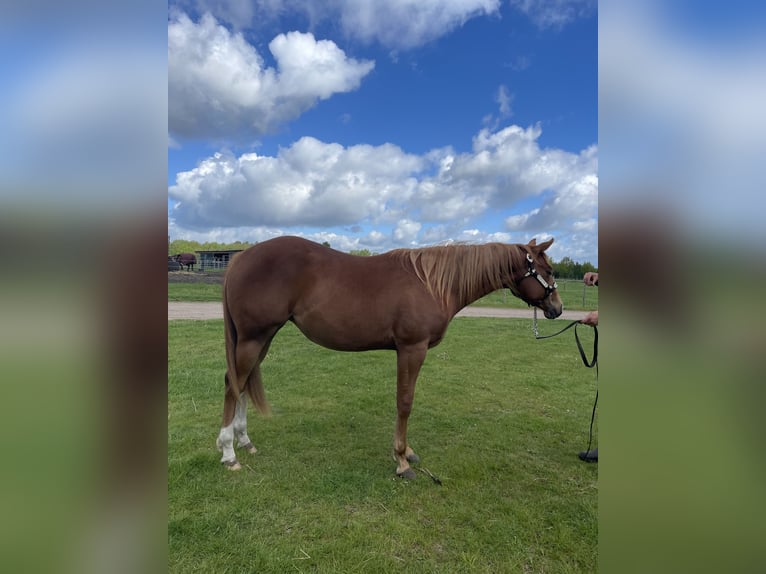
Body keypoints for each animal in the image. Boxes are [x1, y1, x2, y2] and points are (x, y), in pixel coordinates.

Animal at [217, 236, 562, 478]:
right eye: (547, 270)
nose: (557, 309)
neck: (432, 284)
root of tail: (242, 257)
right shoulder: (412, 349)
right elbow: (405, 402)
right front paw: (401, 460)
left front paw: (406, 452)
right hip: (254, 337)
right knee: (232, 384)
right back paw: (228, 453)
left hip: (263, 338)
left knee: (244, 384)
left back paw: (244, 441)